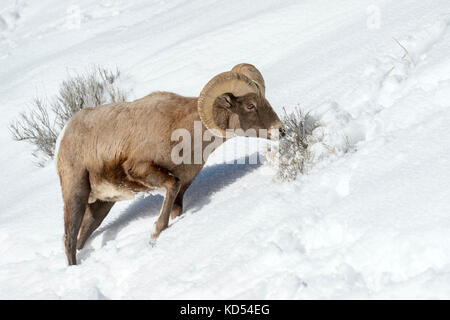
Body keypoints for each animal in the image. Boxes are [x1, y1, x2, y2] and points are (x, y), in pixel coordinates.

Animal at [55, 63, 282, 264]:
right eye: (250, 105)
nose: (281, 130)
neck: (185, 134)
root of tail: (65, 133)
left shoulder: (182, 188)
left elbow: (176, 206)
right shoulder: (142, 169)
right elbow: (171, 186)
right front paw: (156, 232)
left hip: (102, 204)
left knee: (81, 237)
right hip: (76, 194)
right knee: (69, 240)